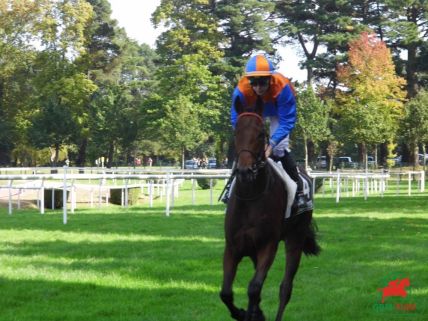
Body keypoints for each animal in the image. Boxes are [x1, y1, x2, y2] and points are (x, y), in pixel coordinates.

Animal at [219, 97, 320, 320]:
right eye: (236, 132)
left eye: (260, 134)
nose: (245, 171)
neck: (251, 196)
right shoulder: (233, 246)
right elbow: (226, 293)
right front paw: (246, 313)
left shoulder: (268, 245)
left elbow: (254, 288)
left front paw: (251, 313)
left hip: (295, 238)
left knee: (286, 288)